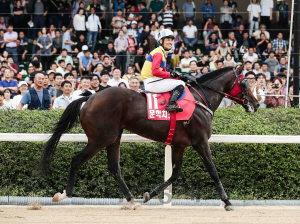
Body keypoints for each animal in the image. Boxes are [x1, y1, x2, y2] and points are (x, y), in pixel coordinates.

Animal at [37, 65, 258, 211]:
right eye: (245, 83)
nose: (256, 104)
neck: (200, 99)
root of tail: (90, 97)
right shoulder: (201, 142)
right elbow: (213, 171)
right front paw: (227, 202)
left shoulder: (179, 144)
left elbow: (174, 174)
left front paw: (148, 195)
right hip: (100, 138)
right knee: (77, 160)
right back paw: (64, 194)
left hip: (113, 137)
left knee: (114, 167)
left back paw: (132, 200)